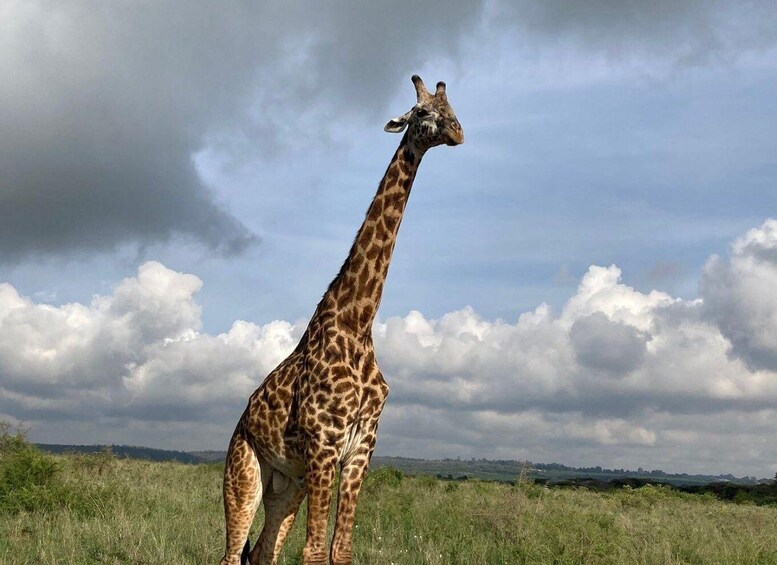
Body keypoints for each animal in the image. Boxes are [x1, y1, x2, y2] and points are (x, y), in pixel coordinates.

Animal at [220, 74, 464, 565]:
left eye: (452, 107)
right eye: (421, 112)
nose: (458, 132)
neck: (358, 321)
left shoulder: (360, 450)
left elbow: (340, 549)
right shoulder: (323, 445)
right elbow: (315, 551)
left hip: (286, 485)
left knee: (262, 553)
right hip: (244, 473)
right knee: (231, 554)